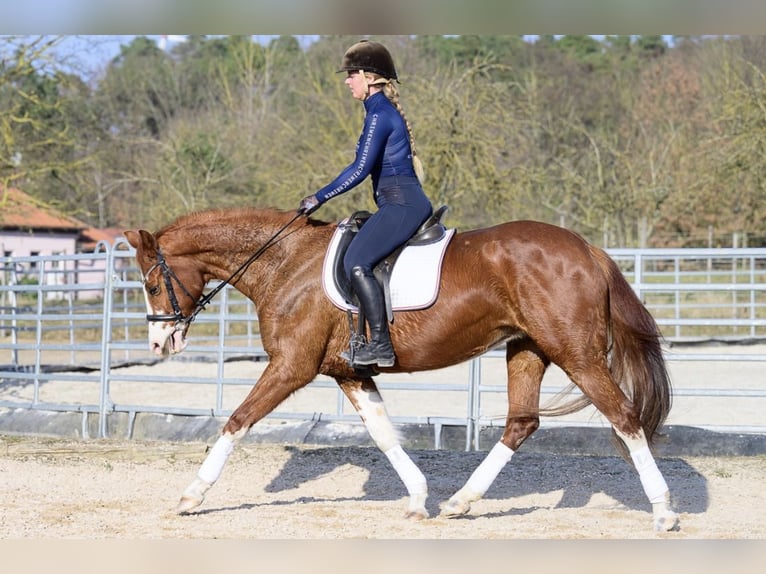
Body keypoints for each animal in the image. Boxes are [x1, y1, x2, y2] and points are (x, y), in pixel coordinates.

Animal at [126, 208, 684, 536]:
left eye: (151, 285)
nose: (159, 343)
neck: (285, 261)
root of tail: (587, 249)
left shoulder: (291, 366)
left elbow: (236, 421)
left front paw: (191, 496)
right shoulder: (348, 373)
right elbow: (384, 434)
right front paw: (418, 498)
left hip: (577, 355)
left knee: (625, 417)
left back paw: (664, 511)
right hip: (527, 349)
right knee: (522, 423)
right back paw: (460, 502)